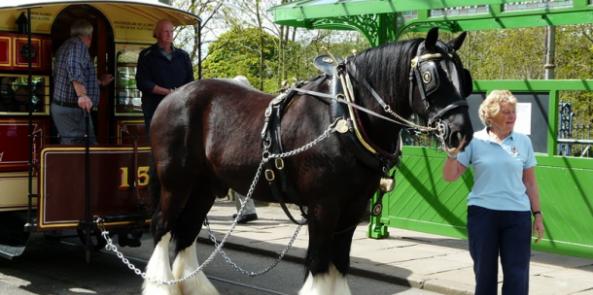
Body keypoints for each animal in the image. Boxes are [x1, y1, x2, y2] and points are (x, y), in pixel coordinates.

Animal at [142, 28, 472, 295]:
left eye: (463, 77)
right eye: (430, 76)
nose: (460, 132)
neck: (346, 118)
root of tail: (173, 96)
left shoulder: (353, 207)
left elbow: (340, 262)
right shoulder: (323, 207)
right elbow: (319, 262)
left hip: (205, 186)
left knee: (186, 232)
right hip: (176, 181)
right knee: (162, 227)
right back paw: (161, 285)